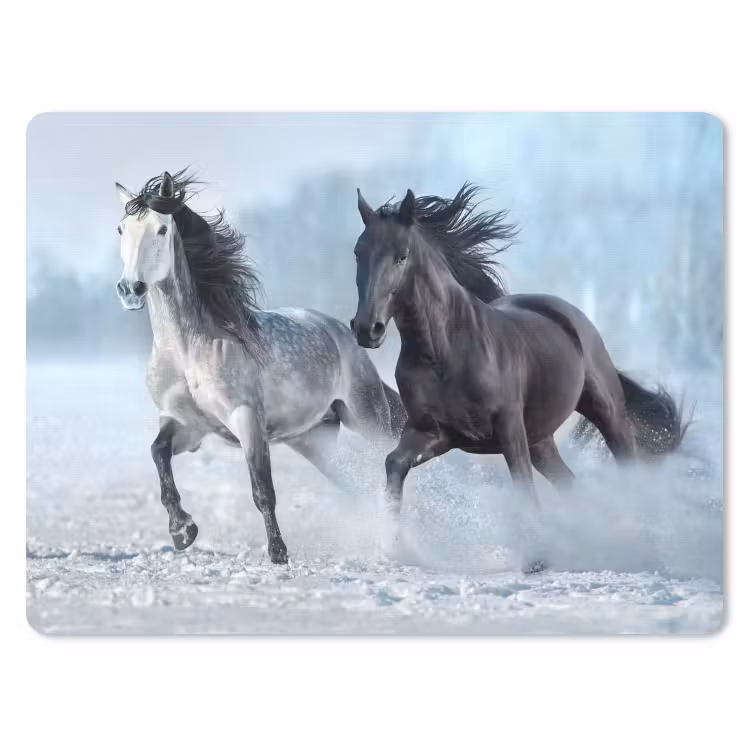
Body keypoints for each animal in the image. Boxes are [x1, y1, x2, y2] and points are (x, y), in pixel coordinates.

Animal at [114, 169, 406, 563]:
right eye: (121, 229)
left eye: (161, 229)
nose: (131, 289)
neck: (189, 351)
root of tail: (340, 332)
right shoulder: (187, 424)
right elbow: (158, 454)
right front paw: (182, 530)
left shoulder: (246, 419)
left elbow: (262, 489)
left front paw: (278, 553)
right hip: (313, 440)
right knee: (357, 482)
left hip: (368, 418)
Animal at [350, 183, 687, 565]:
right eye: (358, 253)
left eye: (402, 256)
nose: (368, 329)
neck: (444, 352)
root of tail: (568, 314)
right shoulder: (433, 432)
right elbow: (394, 463)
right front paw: (393, 547)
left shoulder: (509, 429)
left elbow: (523, 487)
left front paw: (537, 558)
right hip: (541, 440)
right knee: (569, 482)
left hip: (605, 410)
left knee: (626, 461)